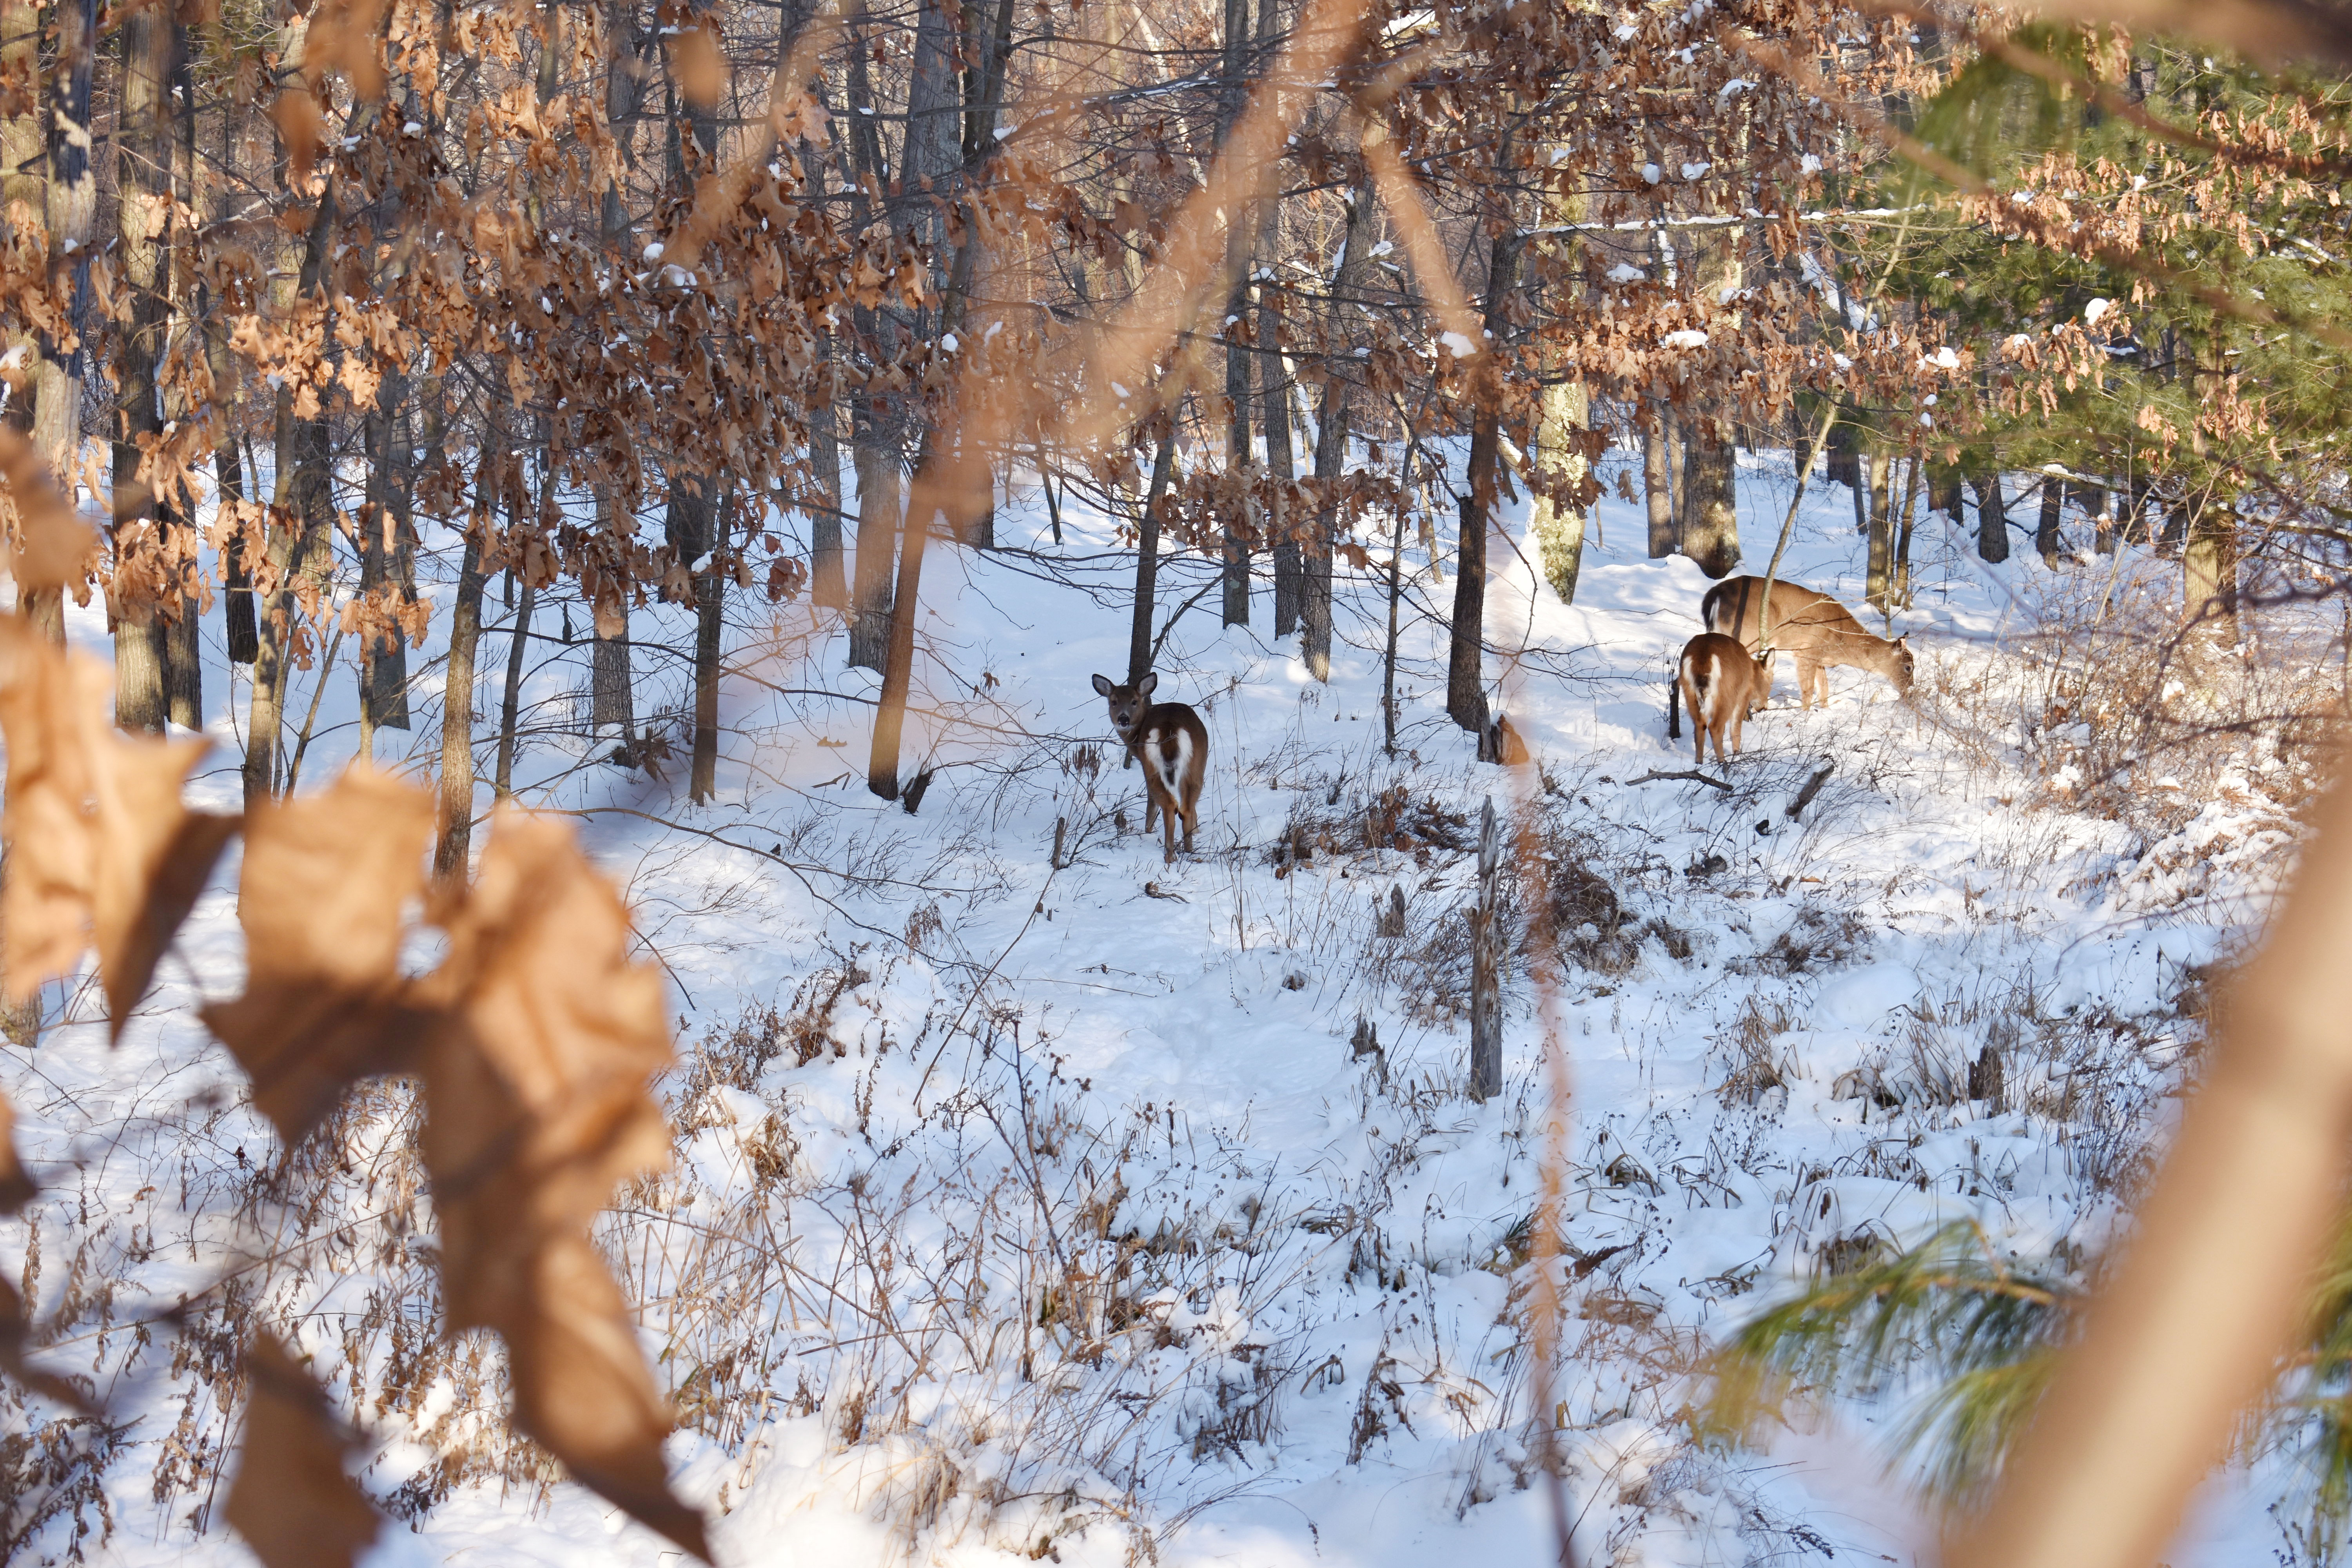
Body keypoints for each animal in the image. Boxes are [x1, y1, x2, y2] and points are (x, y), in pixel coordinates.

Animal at [1091, 672, 1209, 865]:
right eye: (1114, 702)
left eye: (1134, 701)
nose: (1123, 719)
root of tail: (1170, 728)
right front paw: (1198, 830)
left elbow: (1152, 804)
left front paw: (1148, 831)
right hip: (1197, 765)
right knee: (1186, 808)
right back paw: (1189, 852)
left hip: (1153, 766)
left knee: (1170, 805)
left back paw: (1170, 855)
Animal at [1677, 633, 1775, 765]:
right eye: (1771, 684)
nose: (1764, 707)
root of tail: (1703, 657)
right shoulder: (1743, 697)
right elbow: (1736, 727)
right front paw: (1738, 754)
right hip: (1727, 694)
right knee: (1715, 727)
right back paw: (1723, 762)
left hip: (1689, 692)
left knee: (1700, 724)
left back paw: (1699, 762)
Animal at [1700, 575, 1915, 710]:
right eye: (1909, 667)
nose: (1911, 688)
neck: (1842, 639)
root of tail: (1715, 593)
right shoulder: (1806, 652)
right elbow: (1808, 689)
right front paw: (1805, 716)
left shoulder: (1819, 659)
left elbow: (1825, 689)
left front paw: (1826, 712)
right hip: (1746, 633)